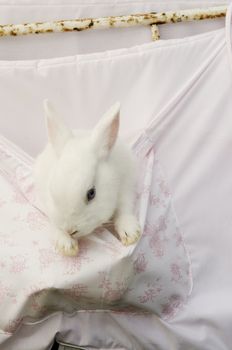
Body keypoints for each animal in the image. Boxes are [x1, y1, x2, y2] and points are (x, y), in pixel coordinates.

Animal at [33, 100, 140, 256]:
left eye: (91, 193)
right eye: (52, 194)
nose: (70, 230)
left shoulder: (126, 186)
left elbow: (124, 210)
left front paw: (131, 234)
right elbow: (54, 224)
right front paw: (66, 246)